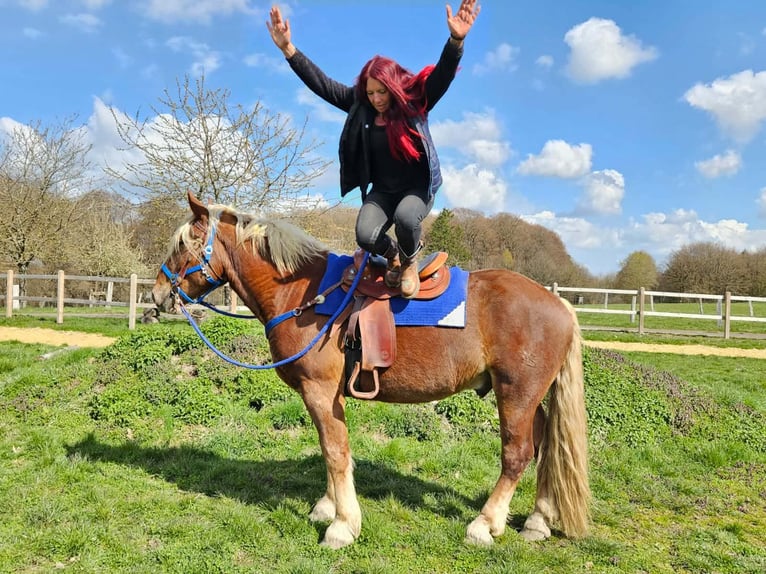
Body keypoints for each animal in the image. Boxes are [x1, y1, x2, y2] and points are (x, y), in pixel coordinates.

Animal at [152, 192, 590, 549]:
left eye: (182, 246)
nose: (157, 293)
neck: (303, 292)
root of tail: (558, 303)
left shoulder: (319, 389)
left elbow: (335, 451)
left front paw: (343, 526)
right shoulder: (329, 396)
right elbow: (332, 448)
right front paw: (328, 507)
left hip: (515, 393)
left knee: (517, 454)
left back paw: (485, 524)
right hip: (530, 397)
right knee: (545, 446)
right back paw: (537, 521)